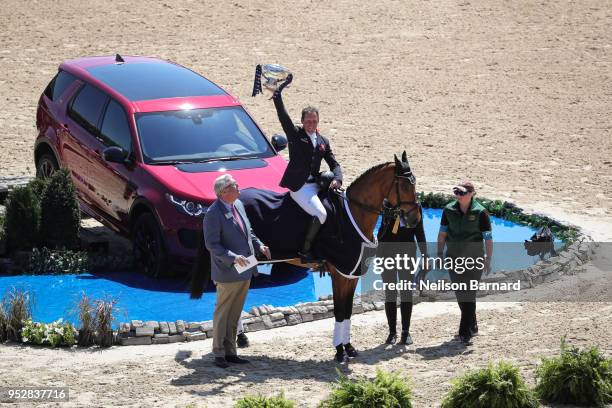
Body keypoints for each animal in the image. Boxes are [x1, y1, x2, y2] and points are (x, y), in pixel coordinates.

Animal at [191, 151, 420, 362]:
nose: (415, 219)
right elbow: (339, 312)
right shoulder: (339, 274)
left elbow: (347, 312)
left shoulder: (350, 275)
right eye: (405, 186)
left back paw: (240, 339)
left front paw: (349, 348)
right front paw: (339, 351)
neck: (353, 215)